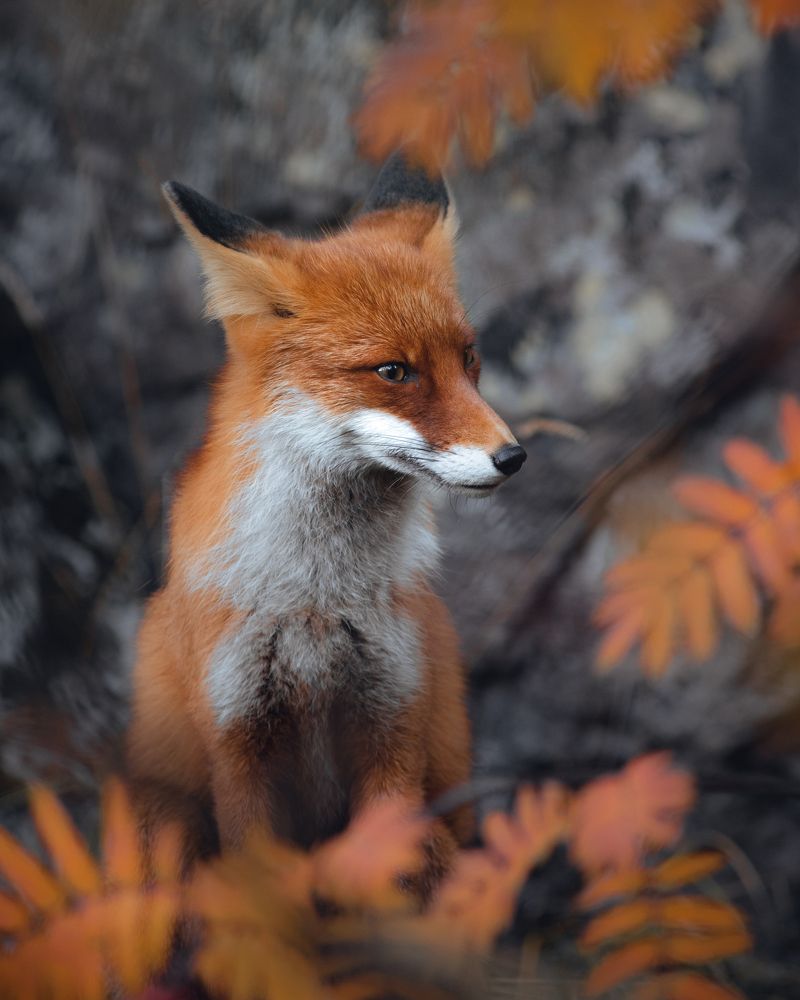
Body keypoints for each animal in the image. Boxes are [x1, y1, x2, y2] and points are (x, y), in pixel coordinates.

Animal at [126, 153, 527, 889]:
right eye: (394, 371)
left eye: (468, 357)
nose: (513, 457)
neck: (314, 601)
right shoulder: (238, 737)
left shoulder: (392, 718)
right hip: (158, 814)